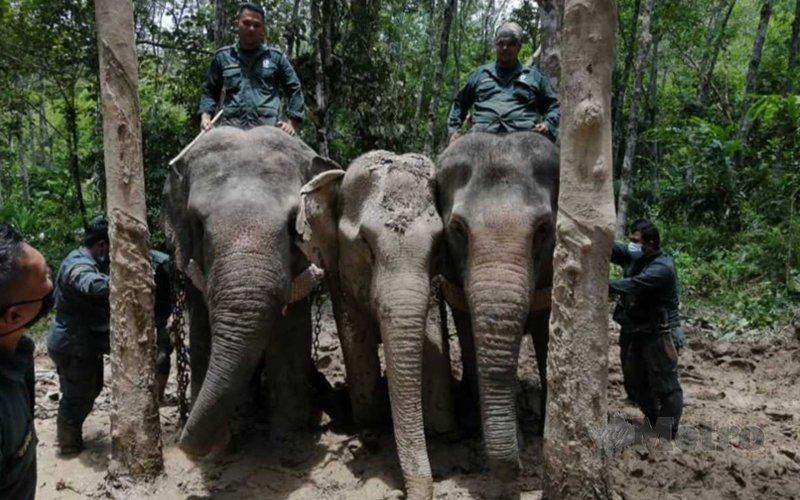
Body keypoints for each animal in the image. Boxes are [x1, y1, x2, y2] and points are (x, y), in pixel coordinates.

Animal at [162, 126, 338, 458]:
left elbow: (290, 333)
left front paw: (290, 449)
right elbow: (201, 333)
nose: (184, 442)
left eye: (293, 224)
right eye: (198, 224)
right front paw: (222, 448)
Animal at [296, 151, 454, 499]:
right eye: (365, 244)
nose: (404, 493)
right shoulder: (339, 276)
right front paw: (370, 426)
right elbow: (356, 338)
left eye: (438, 244)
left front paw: (442, 427)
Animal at [435, 131, 559, 481]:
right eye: (457, 229)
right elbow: (468, 332)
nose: (522, 468)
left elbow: (546, 334)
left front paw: (544, 430)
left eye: (543, 229)